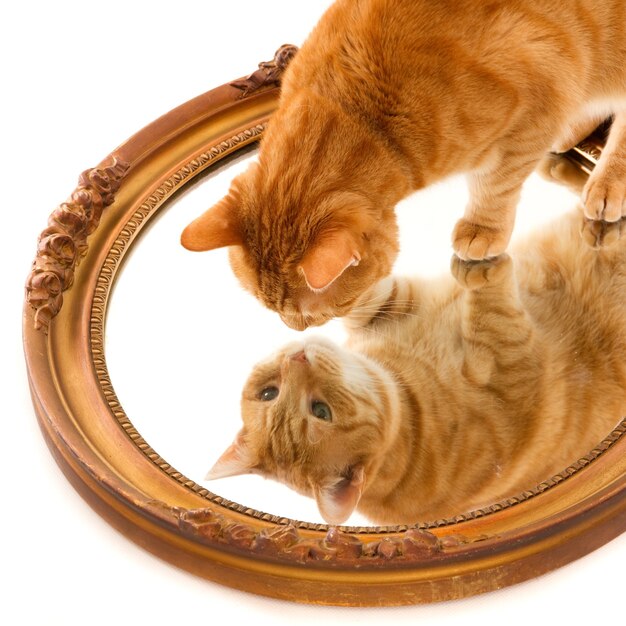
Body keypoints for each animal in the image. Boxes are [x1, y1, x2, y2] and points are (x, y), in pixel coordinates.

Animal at [180, 0, 624, 330]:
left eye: (305, 313)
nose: (296, 329)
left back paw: (605, 183)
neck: (359, 108)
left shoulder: (538, 106)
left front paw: (482, 229)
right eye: (270, 308)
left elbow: (495, 184)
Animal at [206, 199, 624, 520]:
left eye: (268, 393)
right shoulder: (512, 362)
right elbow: (491, 296)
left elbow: (361, 296)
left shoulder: (391, 302)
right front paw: (483, 258)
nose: (297, 357)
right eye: (320, 410)